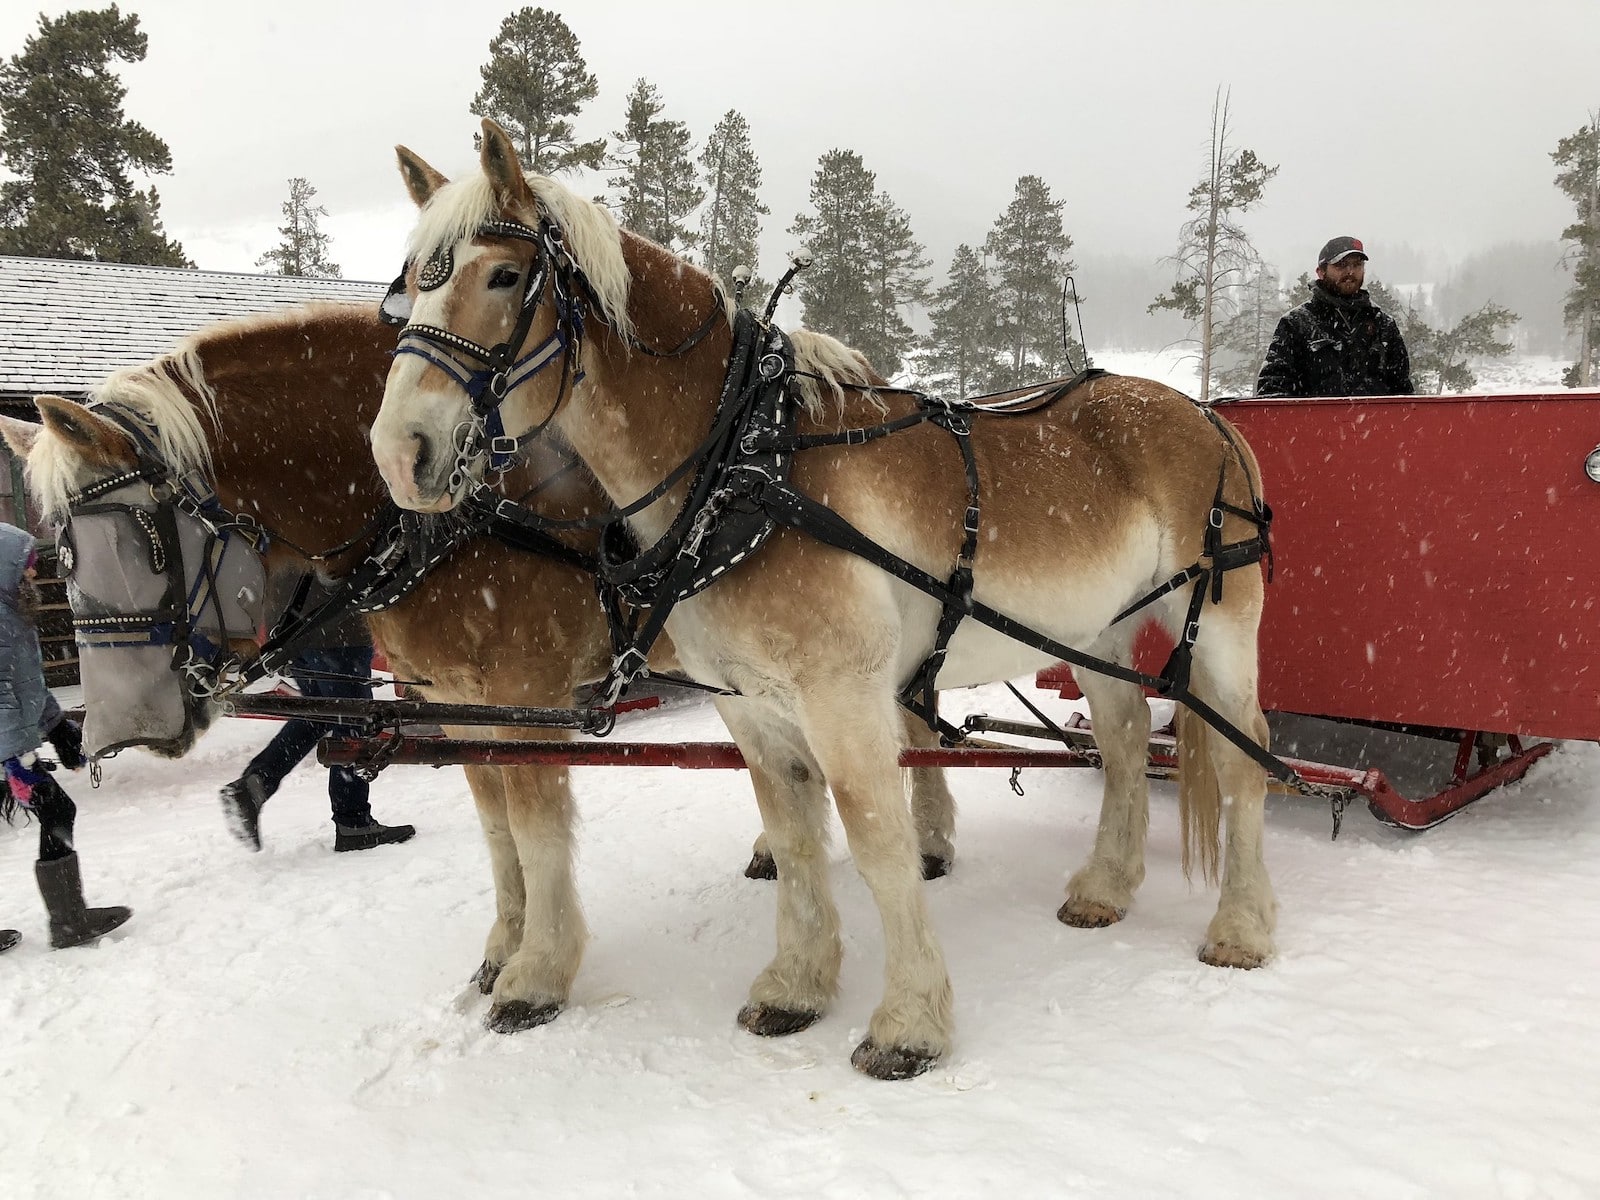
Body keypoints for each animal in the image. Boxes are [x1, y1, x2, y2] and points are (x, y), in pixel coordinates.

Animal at [0, 300, 947, 1036]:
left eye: (143, 541)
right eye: (60, 553)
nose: (112, 730)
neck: (455, 520)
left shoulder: (522, 699)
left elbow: (534, 829)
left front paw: (539, 973)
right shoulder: (455, 705)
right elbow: (497, 834)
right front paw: (503, 948)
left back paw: (925, 839)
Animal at [368, 120, 1280, 1081]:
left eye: (504, 277)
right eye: (408, 288)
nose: (399, 453)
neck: (743, 464)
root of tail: (1208, 416)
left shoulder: (841, 695)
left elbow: (877, 841)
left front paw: (909, 1023)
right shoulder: (751, 705)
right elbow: (799, 836)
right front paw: (796, 987)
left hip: (1221, 624)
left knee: (1244, 755)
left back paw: (1241, 927)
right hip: (1095, 630)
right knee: (1125, 737)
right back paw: (1106, 887)